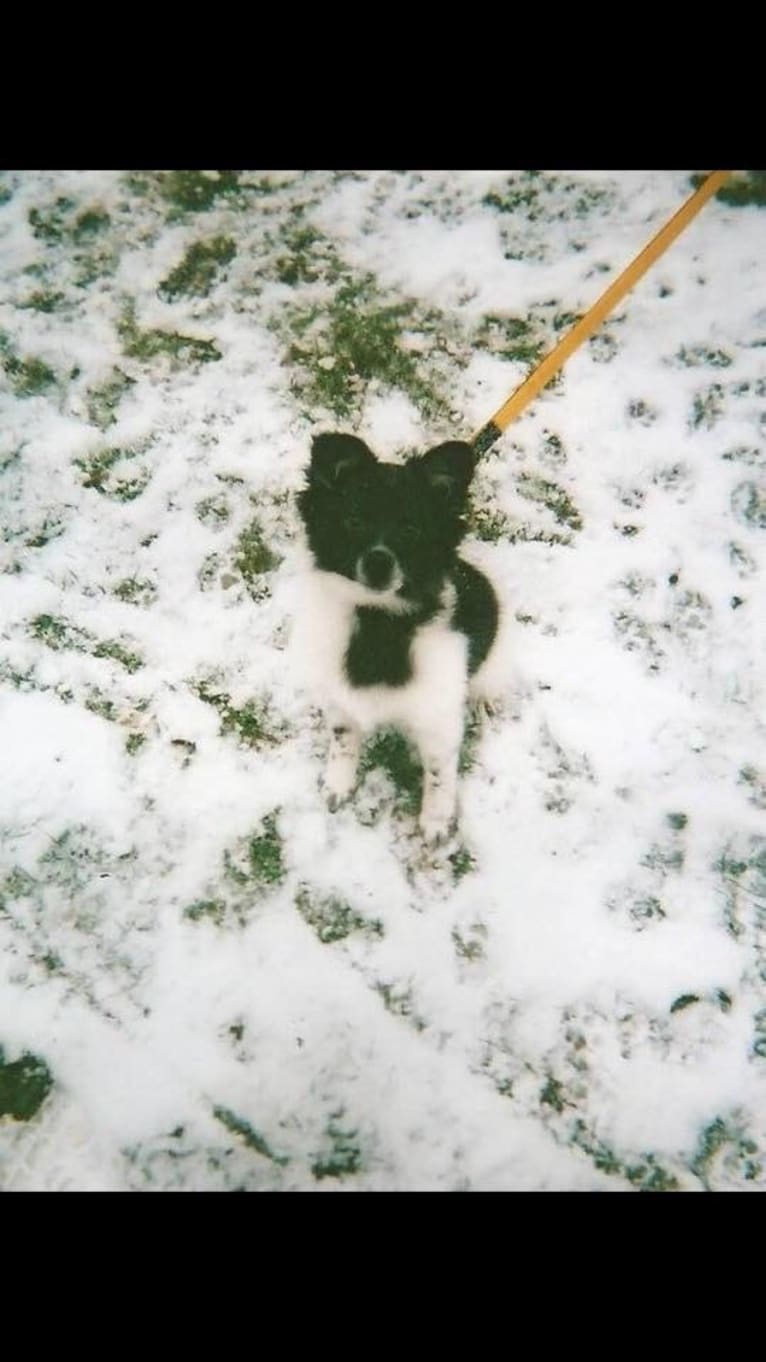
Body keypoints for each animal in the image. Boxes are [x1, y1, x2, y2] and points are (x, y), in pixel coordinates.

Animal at [293, 433, 501, 838]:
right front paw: (338, 783)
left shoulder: (438, 720)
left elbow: (439, 774)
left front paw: (436, 821)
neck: (378, 622)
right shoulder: (341, 698)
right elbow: (343, 740)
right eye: (353, 521)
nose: (379, 562)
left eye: (411, 530)